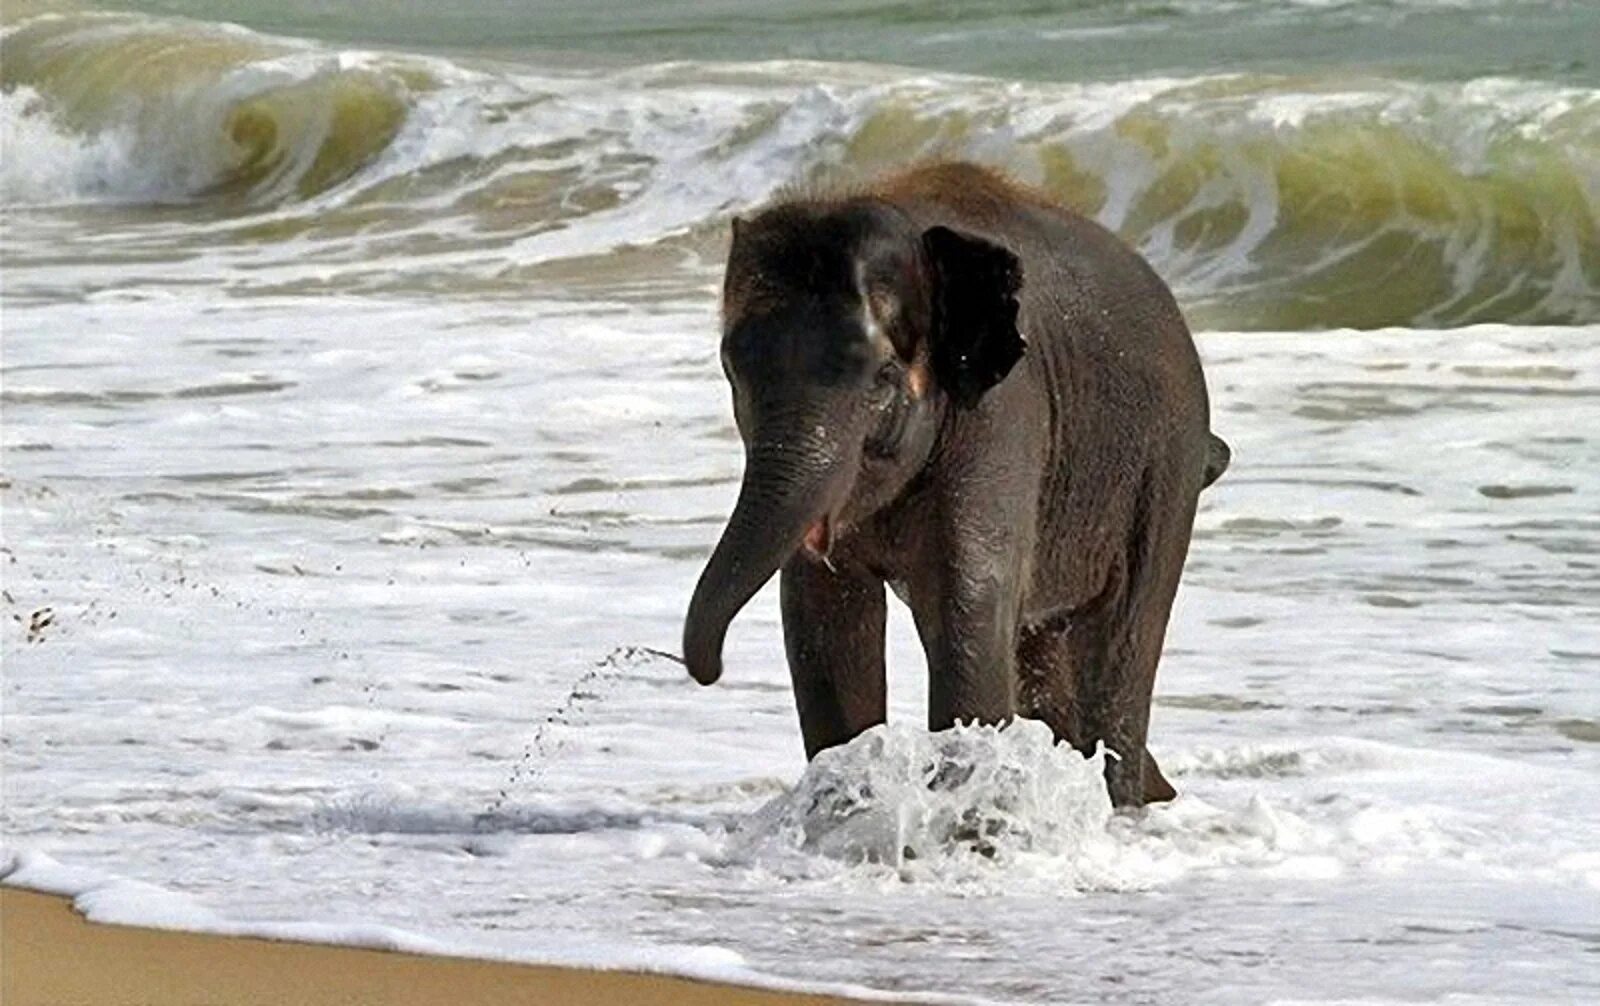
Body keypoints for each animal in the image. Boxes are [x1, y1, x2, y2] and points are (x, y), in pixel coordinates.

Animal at [678, 164, 1222, 809]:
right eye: (732, 370)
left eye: (883, 377)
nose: (709, 672)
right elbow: (821, 614)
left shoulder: (1002, 411)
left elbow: (970, 599)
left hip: (1164, 468)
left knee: (1121, 640)